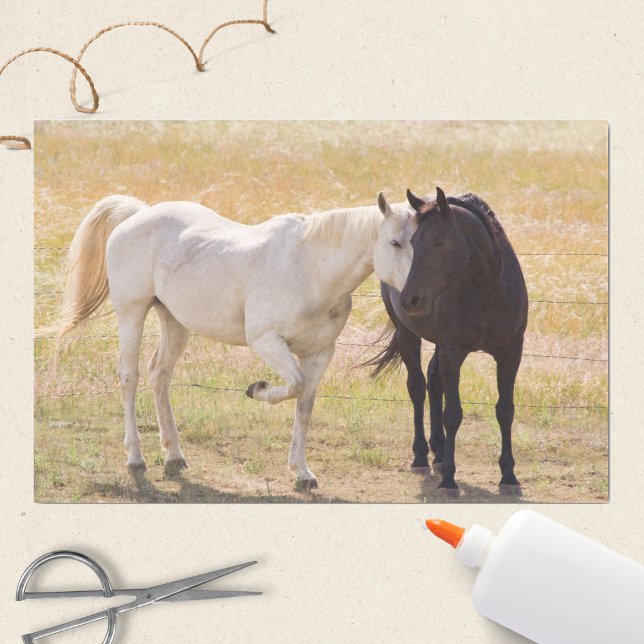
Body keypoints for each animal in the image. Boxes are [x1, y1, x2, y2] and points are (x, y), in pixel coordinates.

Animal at [53, 194, 416, 489]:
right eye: (395, 243)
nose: (412, 298)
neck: (311, 269)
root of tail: (137, 214)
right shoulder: (267, 341)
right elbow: (294, 386)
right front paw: (257, 389)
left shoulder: (319, 353)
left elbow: (304, 405)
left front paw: (301, 472)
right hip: (132, 313)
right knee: (130, 377)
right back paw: (135, 457)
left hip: (174, 321)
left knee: (160, 375)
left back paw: (174, 455)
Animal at [366, 187, 528, 495]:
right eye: (413, 242)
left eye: (439, 243)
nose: (410, 299)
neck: (487, 289)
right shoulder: (454, 352)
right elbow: (453, 413)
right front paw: (450, 479)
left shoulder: (511, 353)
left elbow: (505, 410)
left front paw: (509, 475)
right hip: (408, 335)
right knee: (417, 387)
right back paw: (421, 456)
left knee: (433, 381)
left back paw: (439, 452)